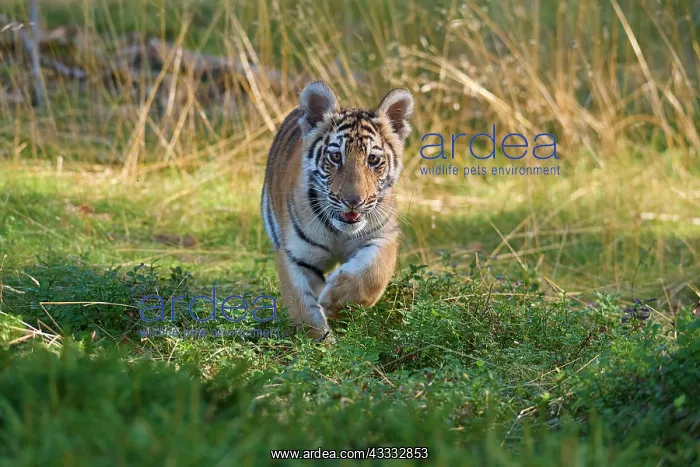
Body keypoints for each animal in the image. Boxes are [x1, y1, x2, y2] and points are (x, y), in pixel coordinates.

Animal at [261, 80, 414, 341]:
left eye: (373, 159)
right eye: (335, 156)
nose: (353, 201)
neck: (339, 231)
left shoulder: (383, 236)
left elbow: (373, 274)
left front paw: (336, 302)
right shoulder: (294, 254)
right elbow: (304, 309)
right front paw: (322, 343)